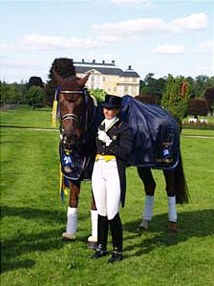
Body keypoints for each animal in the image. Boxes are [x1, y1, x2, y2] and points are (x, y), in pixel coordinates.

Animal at [53, 70, 189, 245]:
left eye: (80, 103)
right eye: (61, 101)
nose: (69, 137)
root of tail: (171, 117)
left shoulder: (94, 171)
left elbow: (95, 204)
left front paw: (95, 238)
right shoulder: (75, 170)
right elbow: (73, 201)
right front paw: (69, 234)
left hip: (167, 164)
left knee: (170, 189)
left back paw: (172, 225)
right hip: (143, 163)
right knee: (150, 186)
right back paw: (144, 223)